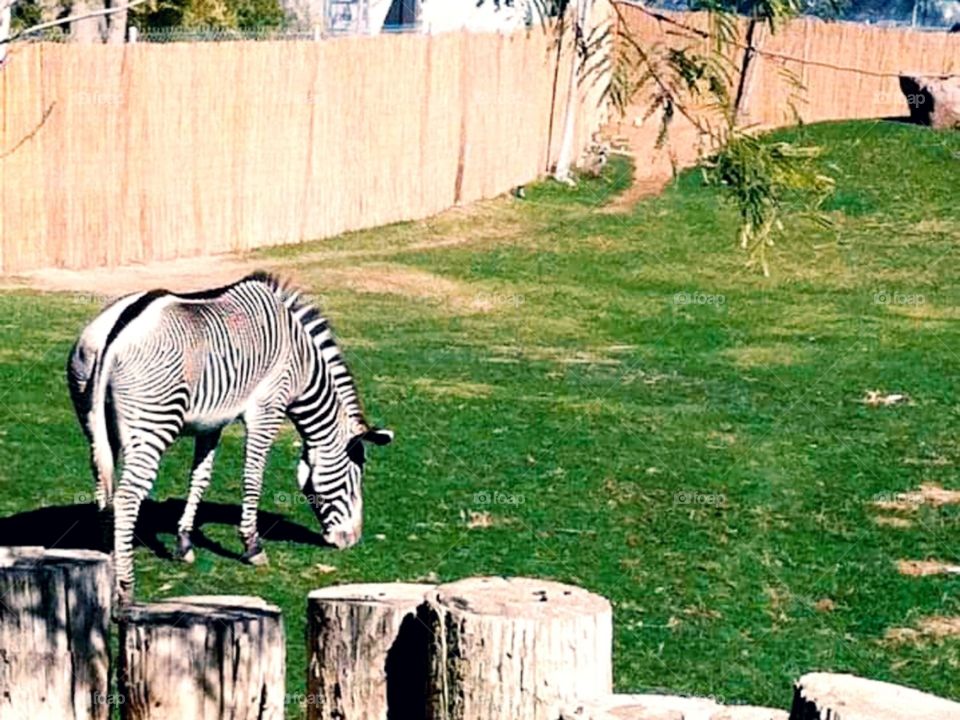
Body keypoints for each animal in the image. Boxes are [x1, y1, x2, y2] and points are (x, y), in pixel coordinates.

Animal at [67, 272, 393, 606]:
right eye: (355, 478)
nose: (351, 540)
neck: (301, 359)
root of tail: (114, 333)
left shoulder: (211, 423)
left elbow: (200, 478)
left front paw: (184, 543)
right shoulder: (267, 409)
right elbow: (253, 477)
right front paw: (252, 546)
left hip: (92, 415)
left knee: (102, 488)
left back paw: (109, 558)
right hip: (153, 423)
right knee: (126, 498)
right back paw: (125, 585)